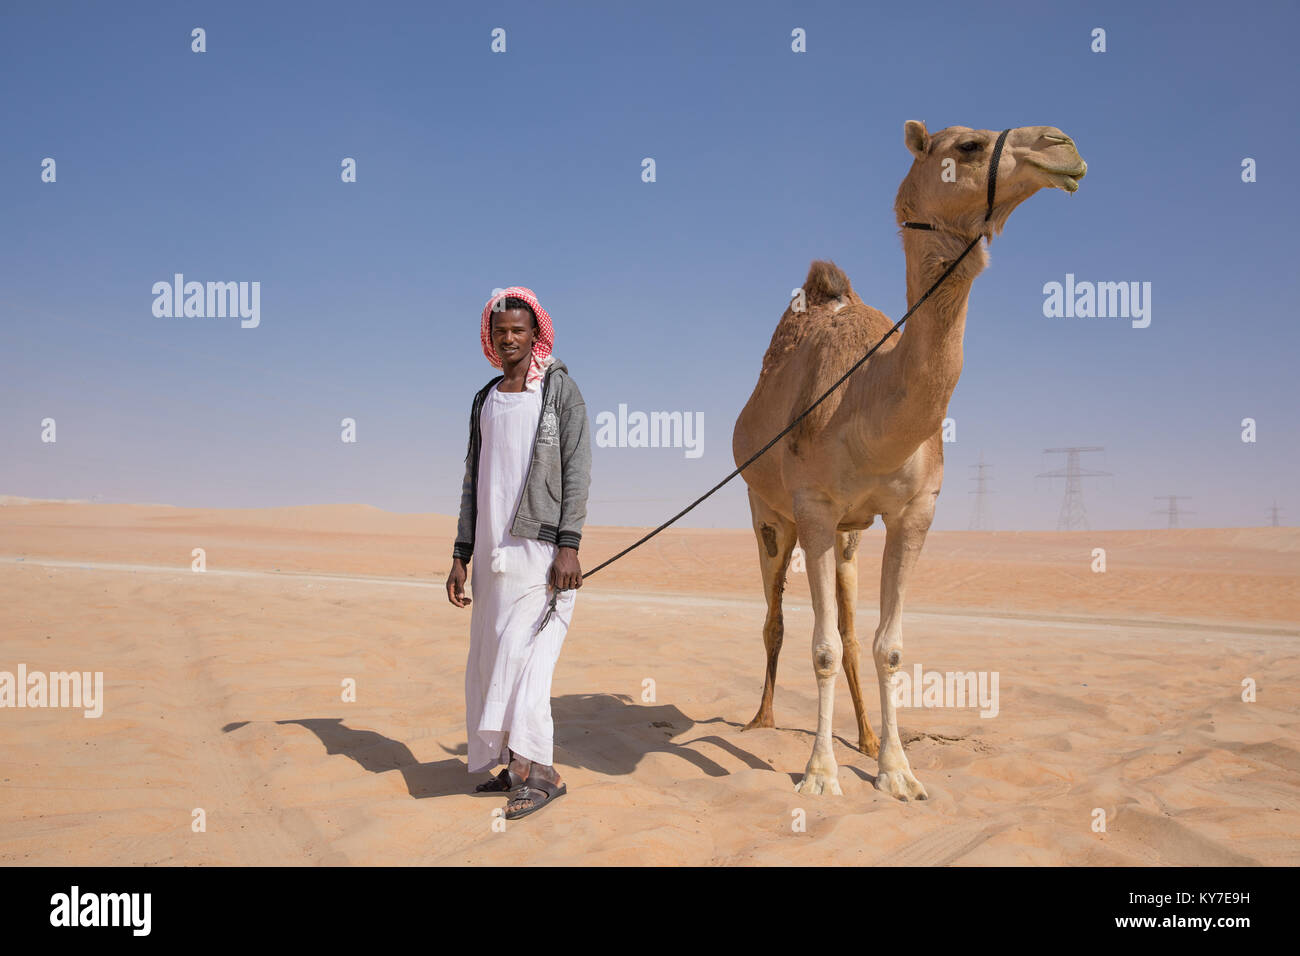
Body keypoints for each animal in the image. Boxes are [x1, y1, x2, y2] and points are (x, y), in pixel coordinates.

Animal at [733, 119, 1086, 801]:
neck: (868, 402)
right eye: (968, 146)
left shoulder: (914, 512)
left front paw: (896, 771)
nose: (1063, 144)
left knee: (846, 629)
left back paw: (866, 737)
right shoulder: (813, 508)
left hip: (848, 535)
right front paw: (819, 775)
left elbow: (886, 647)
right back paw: (760, 721)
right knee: (774, 619)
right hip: (767, 513)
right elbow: (818, 646)